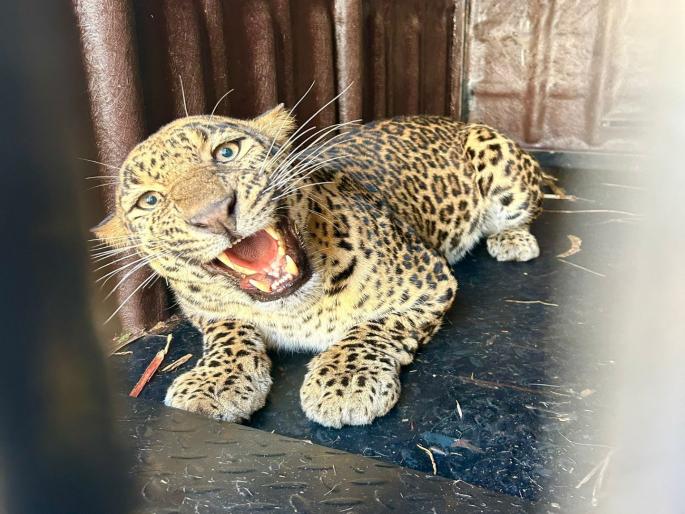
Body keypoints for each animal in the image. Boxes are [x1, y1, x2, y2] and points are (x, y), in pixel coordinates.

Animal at [93, 105, 545, 428]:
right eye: (150, 200)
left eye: (227, 151)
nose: (214, 213)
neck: (293, 309)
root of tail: (453, 119)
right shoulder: (206, 313)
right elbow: (230, 331)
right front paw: (214, 383)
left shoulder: (431, 280)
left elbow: (377, 325)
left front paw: (346, 380)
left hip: (498, 158)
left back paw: (513, 239)